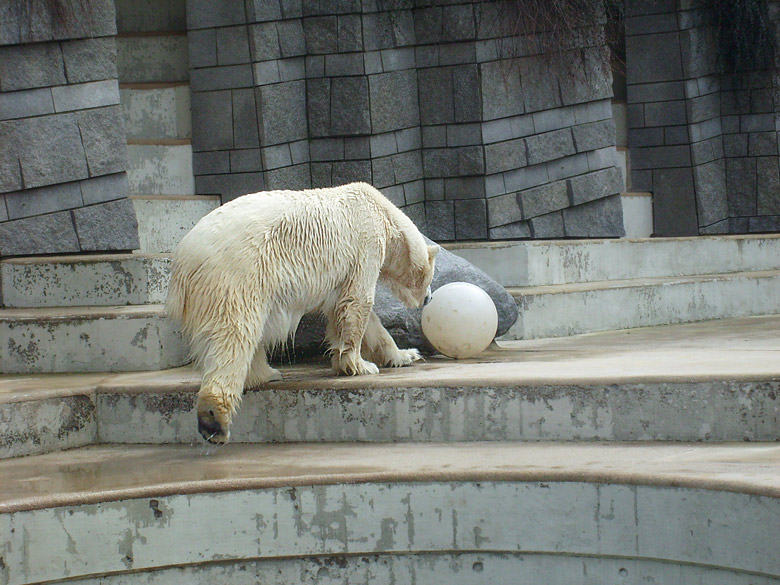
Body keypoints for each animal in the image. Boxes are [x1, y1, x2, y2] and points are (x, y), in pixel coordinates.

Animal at [165, 182, 438, 442]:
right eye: (431, 277)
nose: (429, 297)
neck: (381, 212)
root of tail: (182, 260)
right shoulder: (366, 243)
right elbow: (358, 301)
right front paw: (360, 365)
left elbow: (359, 316)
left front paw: (405, 355)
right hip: (236, 273)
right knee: (234, 333)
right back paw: (214, 418)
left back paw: (267, 374)